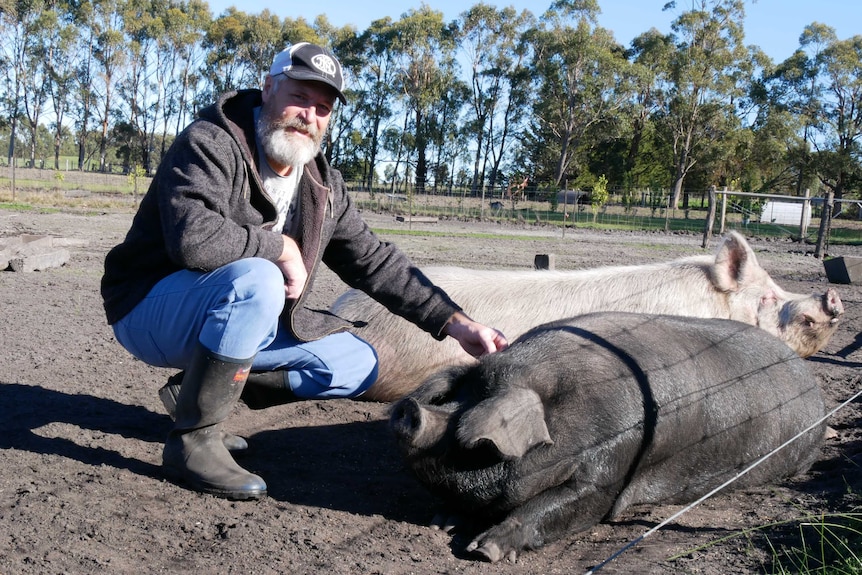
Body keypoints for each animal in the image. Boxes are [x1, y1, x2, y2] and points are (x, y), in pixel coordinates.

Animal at [392, 316, 832, 564]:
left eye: (471, 441)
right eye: (462, 396)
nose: (407, 409)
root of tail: (815, 388)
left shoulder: (611, 469)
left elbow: (563, 505)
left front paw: (482, 551)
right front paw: (442, 523)